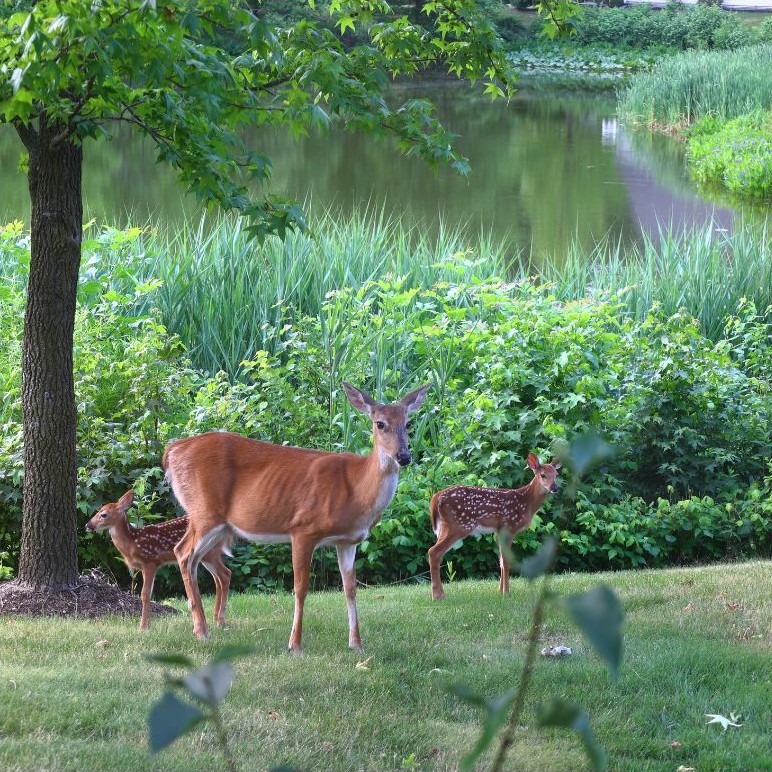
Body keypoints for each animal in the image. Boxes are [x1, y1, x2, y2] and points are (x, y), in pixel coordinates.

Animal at [85, 490, 232, 631]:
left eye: (103, 514)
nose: (87, 525)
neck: (133, 542)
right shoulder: (144, 567)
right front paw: (147, 624)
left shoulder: (150, 561)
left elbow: (145, 594)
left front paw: (143, 627)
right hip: (205, 555)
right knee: (218, 578)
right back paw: (215, 618)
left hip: (209, 553)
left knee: (225, 574)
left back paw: (220, 621)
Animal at [163, 381, 430, 654]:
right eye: (380, 424)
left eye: (408, 423)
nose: (404, 456)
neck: (356, 490)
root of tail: (171, 451)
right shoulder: (303, 529)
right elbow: (301, 588)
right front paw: (295, 645)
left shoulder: (347, 541)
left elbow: (351, 589)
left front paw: (356, 644)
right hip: (204, 511)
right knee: (183, 552)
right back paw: (202, 631)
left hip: (218, 525)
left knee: (197, 560)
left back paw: (206, 626)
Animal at [428, 453, 561, 600]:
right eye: (543, 475)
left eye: (556, 474)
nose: (555, 488)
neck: (527, 502)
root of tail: (435, 498)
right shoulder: (509, 526)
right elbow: (507, 561)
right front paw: (507, 593)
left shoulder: (499, 530)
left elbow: (501, 561)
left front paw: (500, 591)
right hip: (459, 525)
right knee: (433, 552)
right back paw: (438, 596)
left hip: (444, 527)